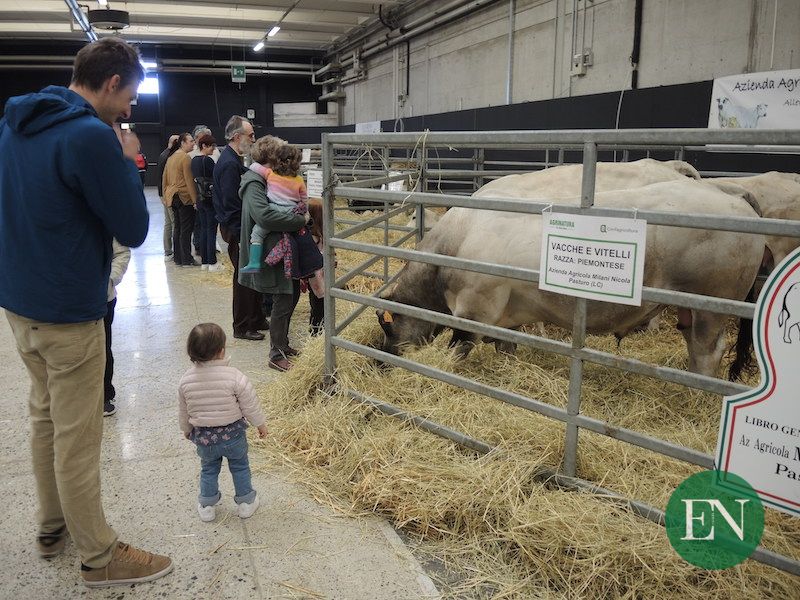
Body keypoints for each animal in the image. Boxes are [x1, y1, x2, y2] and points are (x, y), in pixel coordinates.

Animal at [376, 175, 764, 378]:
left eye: (390, 327)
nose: (383, 361)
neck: (457, 241)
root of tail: (727, 191)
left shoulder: (475, 307)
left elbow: (460, 347)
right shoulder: (507, 315)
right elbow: (506, 346)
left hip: (712, 304)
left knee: (709, 350)